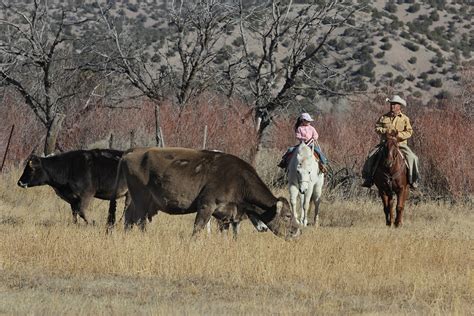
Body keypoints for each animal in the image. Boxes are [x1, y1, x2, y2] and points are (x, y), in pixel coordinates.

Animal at [107, 148, 300, 239]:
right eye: (288, 215)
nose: (296, 231)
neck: (238, 179)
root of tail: (132, 152)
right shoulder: (206, 206)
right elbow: (197, 228)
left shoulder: (226, 215)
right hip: (140, 199)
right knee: (138, 221)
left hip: (135, 201)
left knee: (128, 220)